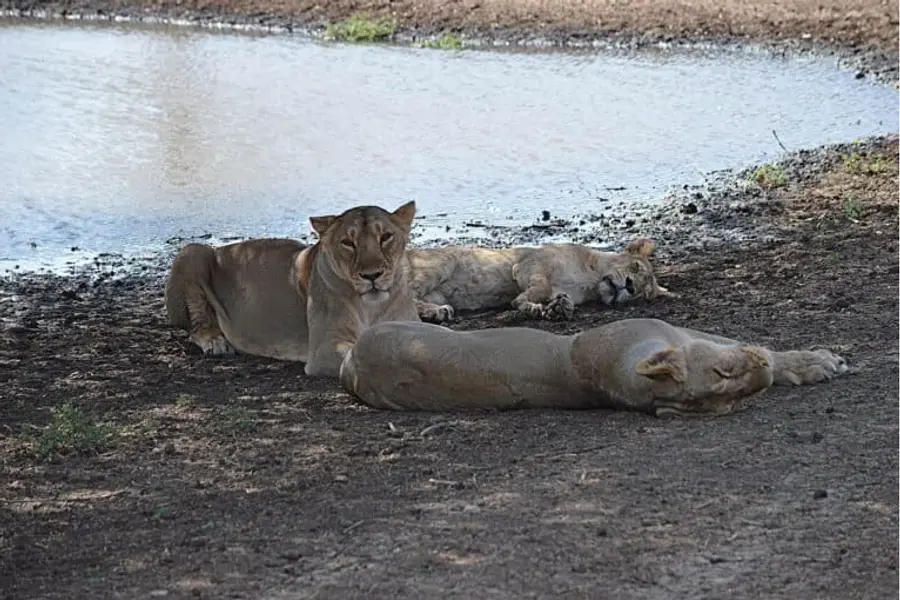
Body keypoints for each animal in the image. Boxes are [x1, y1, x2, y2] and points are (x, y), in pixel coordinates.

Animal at [164, 201, 421, 377]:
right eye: (348, 243)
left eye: (386, 237)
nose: (372, 275)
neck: (372, 306)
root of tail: (223, 249)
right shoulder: (324, 348)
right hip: (194, 251)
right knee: (195, 326)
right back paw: (214, 340)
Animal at [407, 238, 674, 323]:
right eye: (635, 267)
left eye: (643, 293)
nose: (629, 286)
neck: (590, 281)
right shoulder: (529, 263)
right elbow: (538, 287)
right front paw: (526, 305)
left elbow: (556, 298)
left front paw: (558, 309)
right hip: (441, 263)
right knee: (408, 294)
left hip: (436, 291)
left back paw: (437, 312)